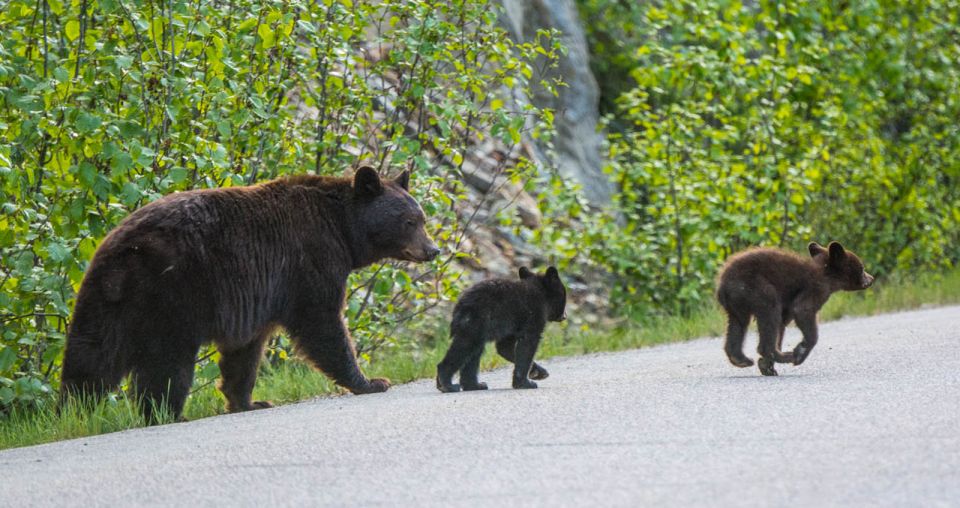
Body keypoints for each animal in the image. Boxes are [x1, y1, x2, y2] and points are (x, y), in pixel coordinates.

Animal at [63, 167, 442, 420]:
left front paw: (247, 400)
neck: (343, 229)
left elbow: (245, 350)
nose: (433, 250)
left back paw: (73, 408)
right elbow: (322, 322)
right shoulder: (309, 261)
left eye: (421, 217)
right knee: (167, 362)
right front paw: (371, 380)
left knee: (91, 356)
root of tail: (123, 250)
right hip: (171, 295)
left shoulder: (257, 297)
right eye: (410, 221)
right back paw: (167, 413)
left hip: (104, 300)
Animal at [436, 266, 568, 392]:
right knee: (465, 347)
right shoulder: (532, 316)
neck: (541, 294)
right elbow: (527, 346)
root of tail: (460, 305)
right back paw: (447, 384)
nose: (565, 316)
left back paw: (475, 385)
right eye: (564, 297)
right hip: (475, 323)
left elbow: (505, 348)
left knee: (474, 354)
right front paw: (525, 383)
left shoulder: (511, 326)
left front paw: (538, 372)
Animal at [716, 242, 872, 378]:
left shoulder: (788, 305)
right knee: (770, 311)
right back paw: (786, 355)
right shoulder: (815, 289)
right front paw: (799, 352)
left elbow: (781, 325)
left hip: (737, 303)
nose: (871, 278)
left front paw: (767, 366)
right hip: (757, 288)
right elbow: (803, 310)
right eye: (862, 268)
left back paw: (741, 358)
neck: (827, 275)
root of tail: (722, 285)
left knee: (738, 325)